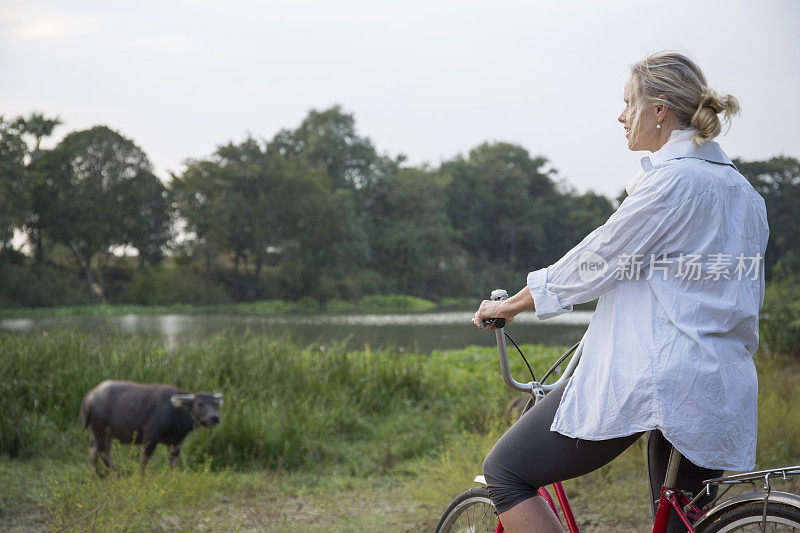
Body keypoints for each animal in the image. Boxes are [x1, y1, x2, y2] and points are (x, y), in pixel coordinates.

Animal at [80, 380, 222, 472]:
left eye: (215, 404)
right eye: (199, 404)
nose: (214, 418)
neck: (175, 412)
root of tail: (89, 398)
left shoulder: (175, 443)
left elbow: (173, 464)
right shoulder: (150, 437)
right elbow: (144, 460)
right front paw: (140, 478)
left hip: (100, 432)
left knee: (93, 449)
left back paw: (95, 476)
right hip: (101, 429)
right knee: (103, 452)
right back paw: (116, 475)